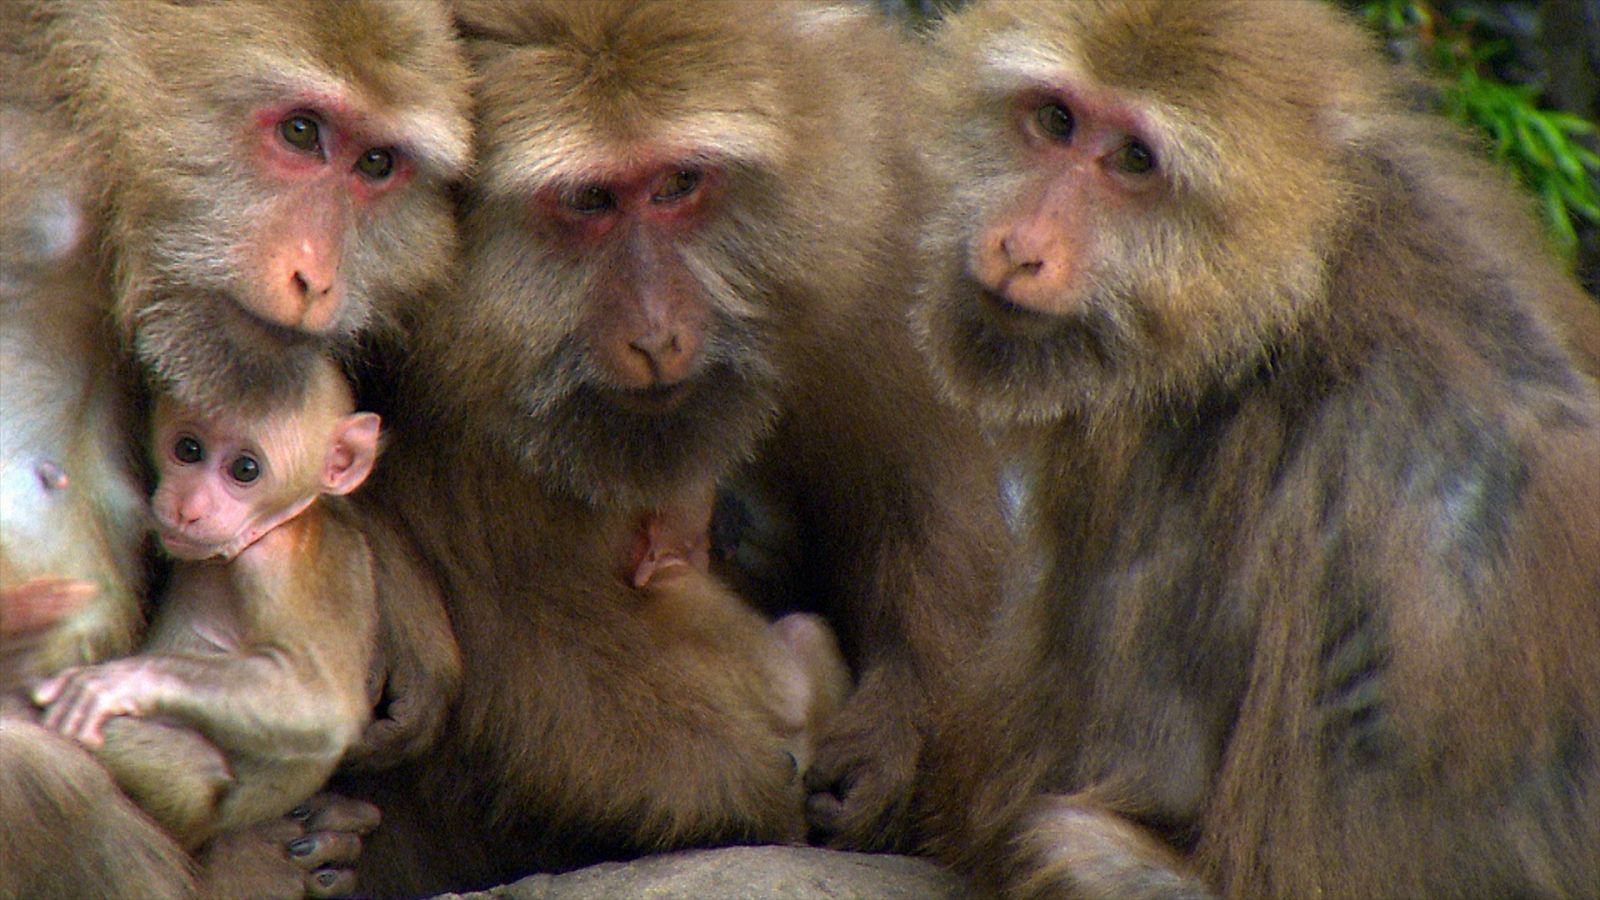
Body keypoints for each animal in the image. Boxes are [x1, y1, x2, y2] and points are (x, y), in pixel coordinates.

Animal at [32, 357, 382, 845]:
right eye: (189, 448)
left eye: (246, 470)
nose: (188, 507)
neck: (283, 522)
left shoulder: (276, 563)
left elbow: (322, 703)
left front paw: (121, 682)